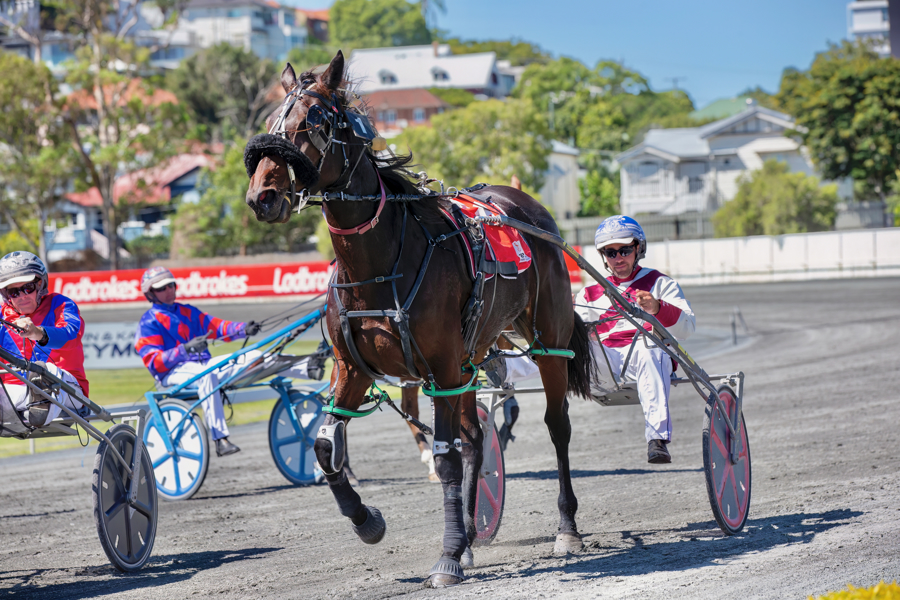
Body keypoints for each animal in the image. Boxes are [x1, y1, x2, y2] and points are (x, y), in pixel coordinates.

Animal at [243, 50, 595, 587]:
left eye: (315, 122)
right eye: (270, 124)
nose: (262, 195)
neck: (380, 261)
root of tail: (527, 206)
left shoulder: (442, 369)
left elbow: (446, 459)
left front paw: (447, 557)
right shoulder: (353, 368)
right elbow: (326, 448)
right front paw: (369, 521)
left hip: (544, 345)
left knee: (557, 426)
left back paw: (566, 528)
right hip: (472, 358)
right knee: (476, 441)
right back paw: (471, 535)